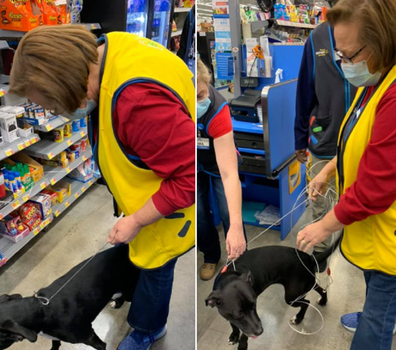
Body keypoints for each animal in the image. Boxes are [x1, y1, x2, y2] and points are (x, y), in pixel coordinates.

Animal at [0, 243, 141, 350]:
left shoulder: (90, 338)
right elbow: (55, 345)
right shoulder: (55, 338)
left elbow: (101, 345)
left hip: (129, 288)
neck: (42, 310)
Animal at [206, 241, 338, 350]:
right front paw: (234, 336)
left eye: (254, 305)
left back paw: (298, 318)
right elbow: (234, 325)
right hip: (307, 283)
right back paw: (323, 301)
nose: (260, 331)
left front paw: (242, 346)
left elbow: (245, 334)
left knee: (306, 303)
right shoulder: (228, 314)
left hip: (292, 297)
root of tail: (309, 258)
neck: (230, 276)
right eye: (238, 313)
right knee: (321, 290)